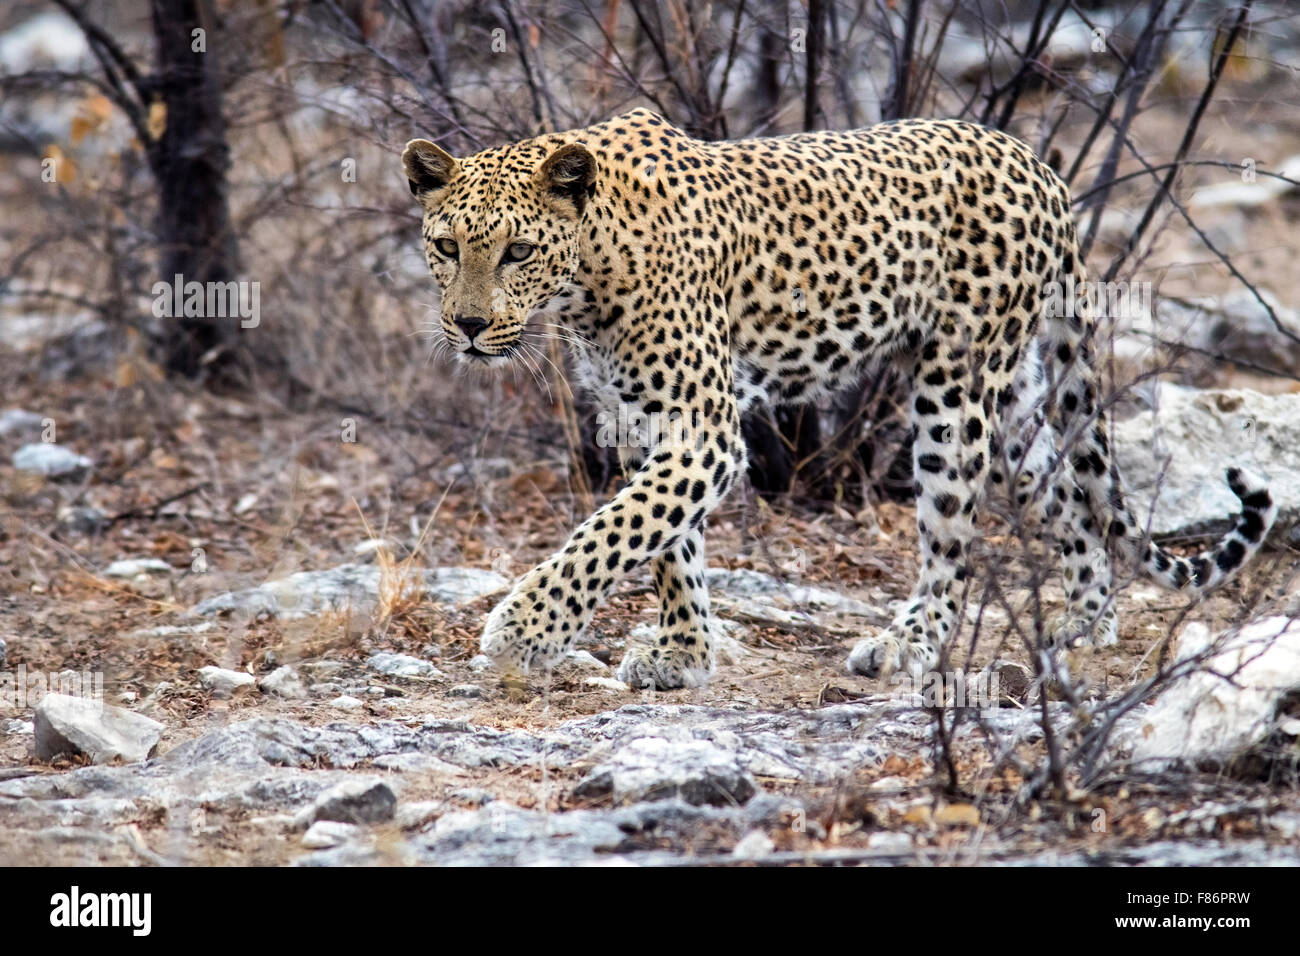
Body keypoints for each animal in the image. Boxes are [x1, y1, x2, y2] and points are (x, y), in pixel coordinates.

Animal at [400, 108, 1274, 691]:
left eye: (518, 251)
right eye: (445, 247)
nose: (467, 326)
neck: (584, 279)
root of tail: (1036, 162)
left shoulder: (702, 430)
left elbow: (611, 534)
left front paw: (524, 630)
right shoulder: (643, 419)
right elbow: (663, 541)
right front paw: (684, 652)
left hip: (955, 393)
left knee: (953, 541)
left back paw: (909, 642)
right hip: (1017, 398)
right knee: (1067, 491)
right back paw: (1089, 615)